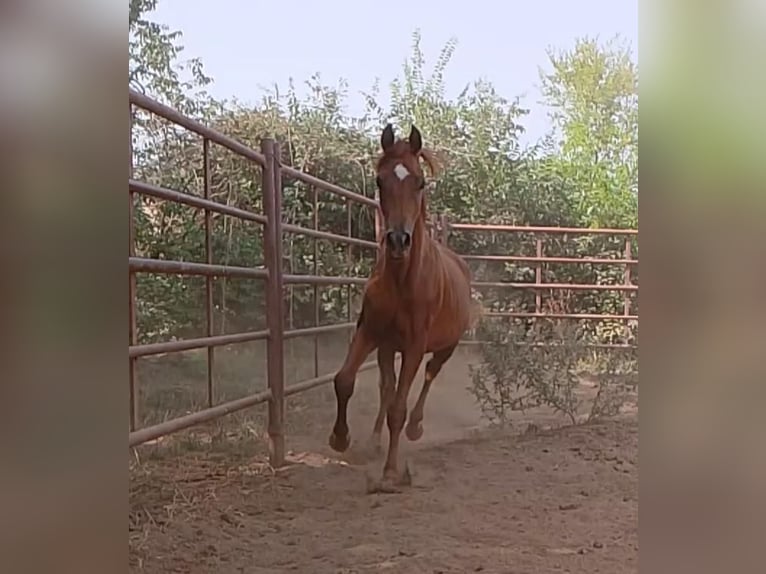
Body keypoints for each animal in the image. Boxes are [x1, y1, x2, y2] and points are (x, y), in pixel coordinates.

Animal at [328, 124, 476, 492]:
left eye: (420, 182)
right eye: (380, 181)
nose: (397, 240)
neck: (402, 281)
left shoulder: (414, 346)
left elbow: (399, 408)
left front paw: (391, 472)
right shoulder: (370, 332)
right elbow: (345, 381)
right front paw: (340, 438)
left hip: (445, 347)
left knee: (428, 376)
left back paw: (416, 428)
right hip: (386, 347)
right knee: (386, 388)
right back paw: (373, 441)